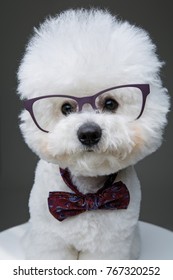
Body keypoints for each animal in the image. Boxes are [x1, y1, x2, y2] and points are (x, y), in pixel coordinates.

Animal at [17, 8, 169, 260]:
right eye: (66, 108)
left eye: (110, 103)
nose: (89, 133)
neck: (88, 193)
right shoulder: (50, 240)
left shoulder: (109, 245)